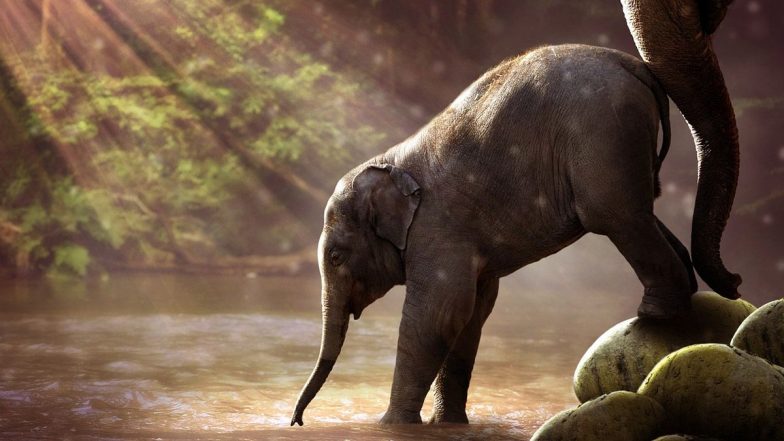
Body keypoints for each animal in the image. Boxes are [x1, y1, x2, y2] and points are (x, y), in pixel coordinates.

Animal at [291, 43, 707, 426]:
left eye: (336, 257)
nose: (297, 421)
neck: (390, 162)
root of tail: (630, 63)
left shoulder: (438, 229)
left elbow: (438, 313)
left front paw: (390, 425)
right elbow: (471, 314)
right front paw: (448, 425)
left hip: (604, 136)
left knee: (618, 216)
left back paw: (654, 312)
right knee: (644, 212)